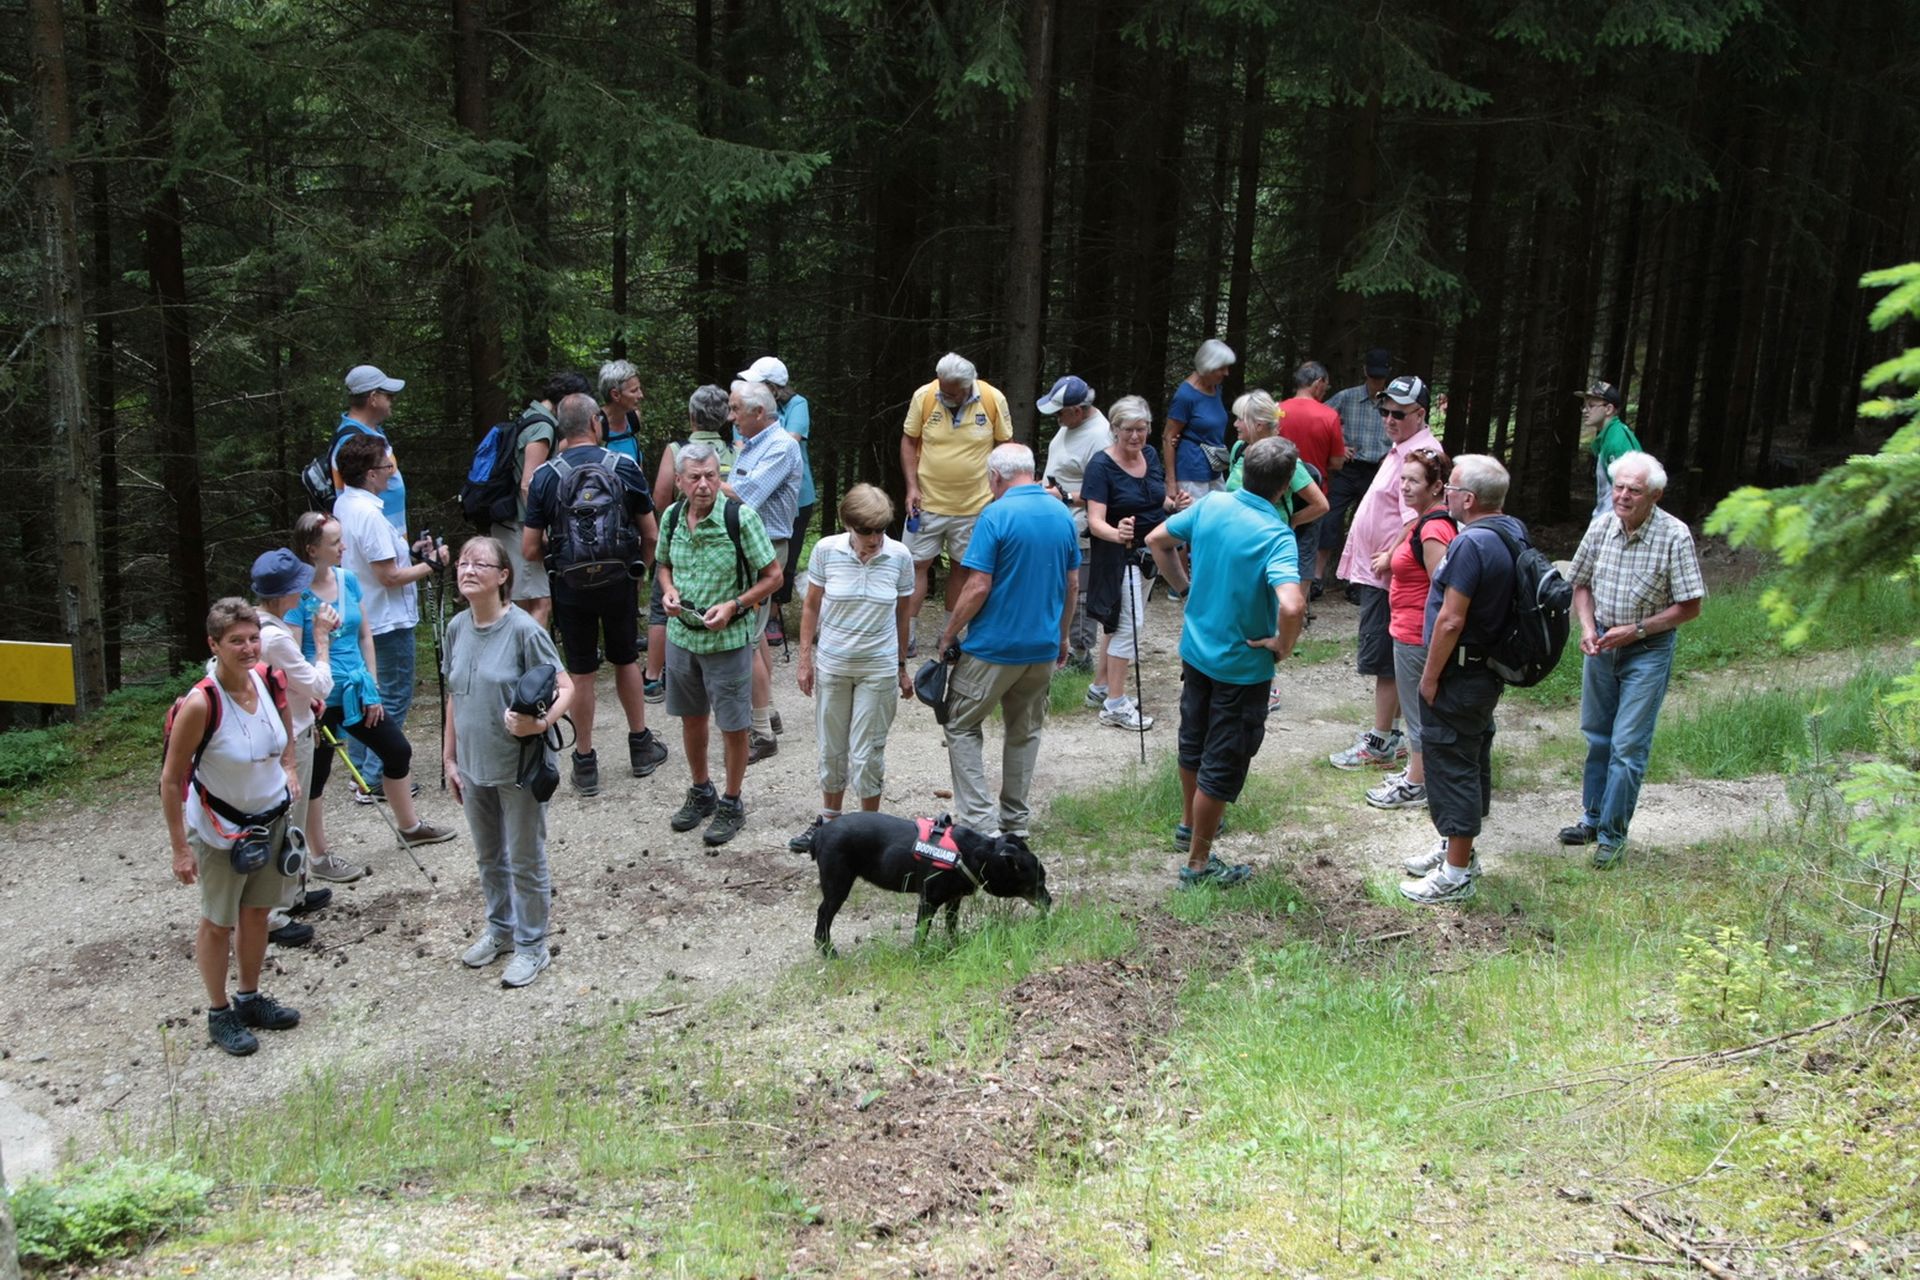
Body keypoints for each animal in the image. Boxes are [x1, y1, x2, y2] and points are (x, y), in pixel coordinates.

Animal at [807, 812, 1052, 954]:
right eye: (1038, 883)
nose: (1049, 901)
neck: (973, 855)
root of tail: (820, 832)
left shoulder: (953, 900)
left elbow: (951, 927)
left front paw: (956, 946)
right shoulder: (928, 901)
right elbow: (922, 932)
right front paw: (919, 954)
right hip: (838, 884)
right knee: (823, 914)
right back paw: (827, 950)